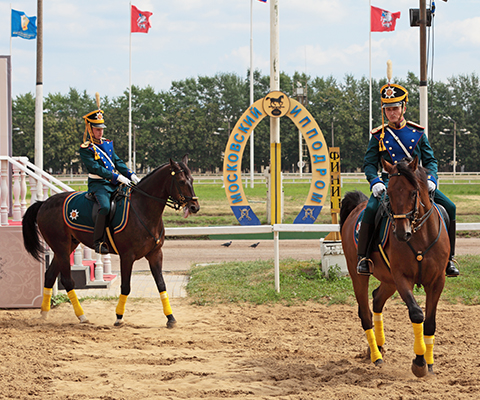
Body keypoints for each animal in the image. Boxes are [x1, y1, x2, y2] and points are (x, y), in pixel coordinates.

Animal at [22, 155, 199, 326]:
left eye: (192, 180)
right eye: (181, 181)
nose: (194, 207)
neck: (142, 209)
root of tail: (44, 203)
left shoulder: (155, 254)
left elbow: (161, 284)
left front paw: (170, 317)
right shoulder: (127, 256)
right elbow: (126, 286)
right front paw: (119, 317)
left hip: (66, 248)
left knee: (50, 275)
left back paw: (44, 313)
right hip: (61, 248)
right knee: (67, 280)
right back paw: (81, 316)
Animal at [342, 157, 450, 378]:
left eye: (413, 192)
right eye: (389, 194)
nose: (401, 233)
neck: (420, 236)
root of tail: (358, 206)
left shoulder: (437, 281)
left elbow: (430, 322)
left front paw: (430, 364)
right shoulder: (402, 278)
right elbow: (417, 313)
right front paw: (419, 363)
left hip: (388, 279)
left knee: (377, 299)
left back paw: (379, 346)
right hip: (360, 276)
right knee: (365, 314)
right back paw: (376, 356)